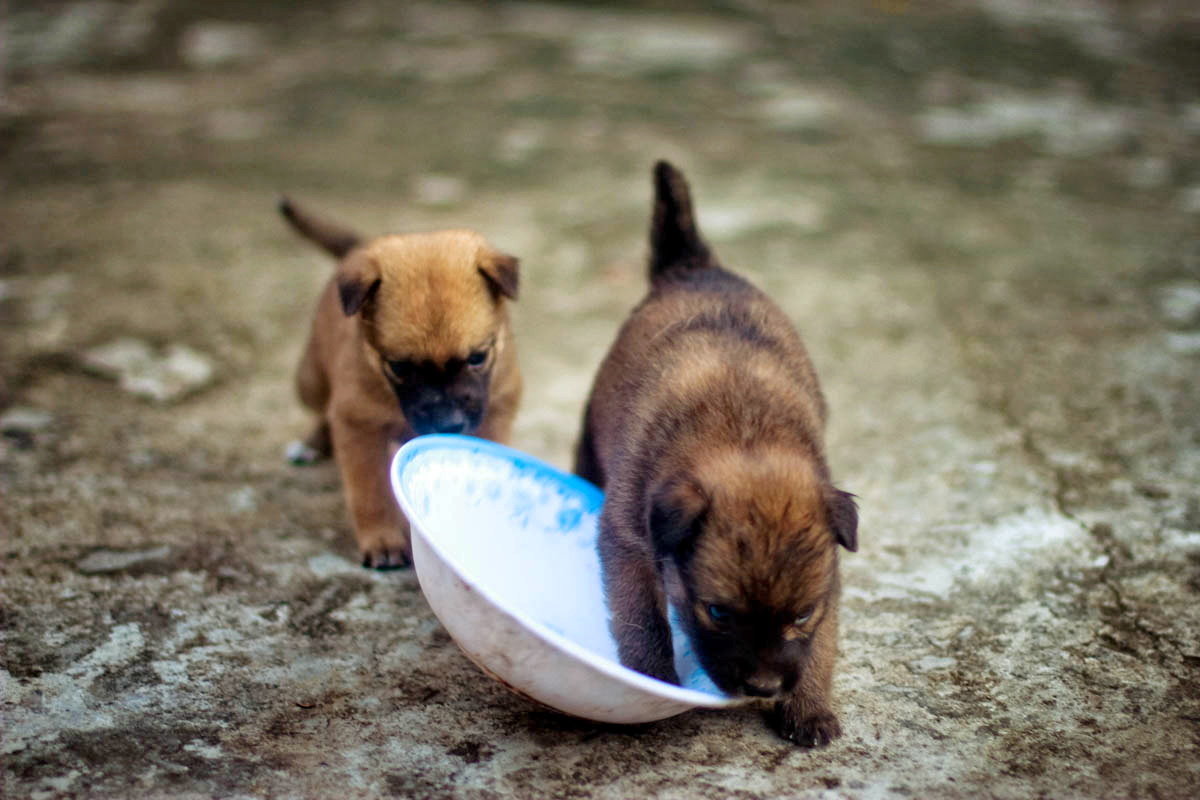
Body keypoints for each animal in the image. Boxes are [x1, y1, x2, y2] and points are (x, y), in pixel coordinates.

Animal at [285, 196, 525, 566]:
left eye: (477, 358)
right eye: (399, 367)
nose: (449, 424)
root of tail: (358, 248)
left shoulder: (494, 412)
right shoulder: (358, 425)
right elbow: (370, 492)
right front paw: (382, 539)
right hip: (309, 380)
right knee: (323, 408)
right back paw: (312, 443)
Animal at [576, 163, 859, 753]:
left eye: (801, 613)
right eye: (718, 613)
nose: (764, 687)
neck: (743, 434)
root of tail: (694, 266)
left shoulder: (828, 578)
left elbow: (820, 644)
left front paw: (808, 705)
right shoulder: (628, 543)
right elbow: (642, 622)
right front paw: (653, 680)